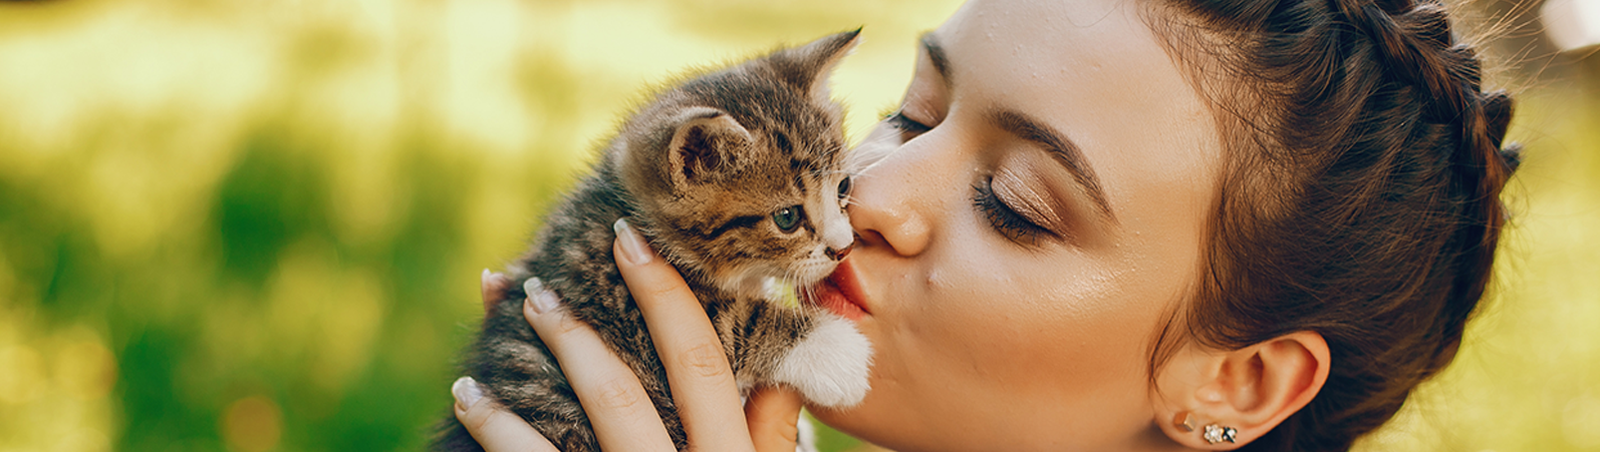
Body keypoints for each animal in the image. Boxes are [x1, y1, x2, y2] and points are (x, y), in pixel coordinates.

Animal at [438, 30, 876, 448]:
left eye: (843, 187)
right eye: (787, 218)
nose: (843, 248)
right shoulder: (621, 313)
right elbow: (734, 319)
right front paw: (838, 352)